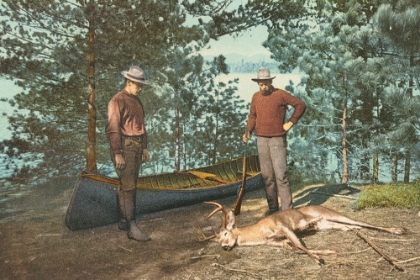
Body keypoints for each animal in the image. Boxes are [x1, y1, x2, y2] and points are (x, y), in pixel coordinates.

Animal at [195, 201, 406, 264]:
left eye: (224, 234)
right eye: (217, 241)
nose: (224, 246)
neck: (259, 232)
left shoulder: (283, 226)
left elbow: (299, 244)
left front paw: (319, 259)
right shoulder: (276, 241)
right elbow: (296, 248)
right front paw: (329, 253)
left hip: (332, 214)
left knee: (359, 222)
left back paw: (398, 230)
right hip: (329, 225)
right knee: (354, 228)